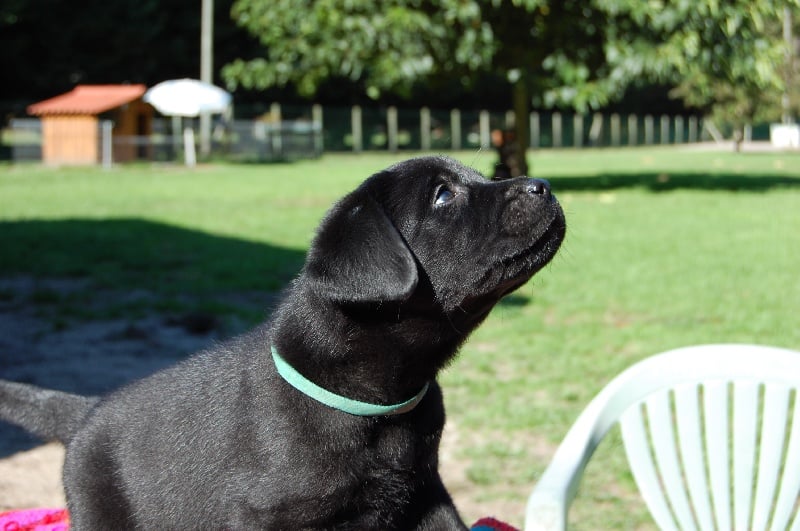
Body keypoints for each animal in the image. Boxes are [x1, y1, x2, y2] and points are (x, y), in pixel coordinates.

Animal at [0, 156, 565, 530]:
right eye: (443, 195)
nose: (544, 185)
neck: (378, 403)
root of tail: (88, 410)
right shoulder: (264, 514)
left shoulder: (425, 492)